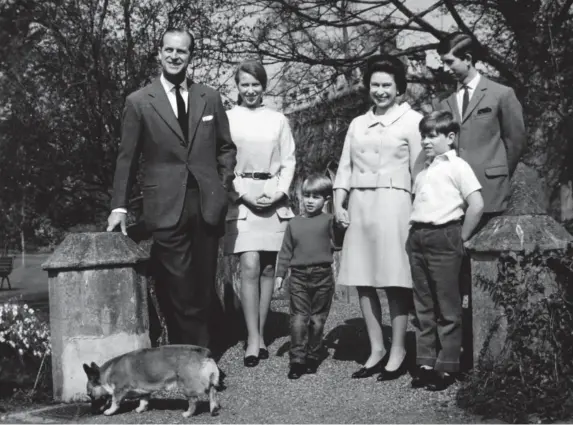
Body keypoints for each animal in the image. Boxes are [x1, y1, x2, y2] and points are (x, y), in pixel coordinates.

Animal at [81, 342, 220, 416]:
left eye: (90, 395)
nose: (92, 412)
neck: (105, 375)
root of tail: (204, 353)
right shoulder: (144, 391)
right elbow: (143, 400)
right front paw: (140, 409)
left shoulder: (119, 390)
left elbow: (115, 401)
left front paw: (109, 411)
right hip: (208, 382)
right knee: (212, 391)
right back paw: (213, 408)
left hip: (187, 387)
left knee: (194, 400)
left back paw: (187, 414)